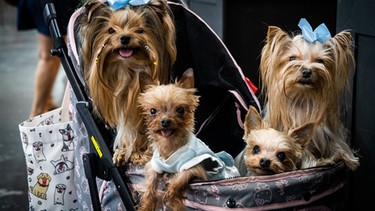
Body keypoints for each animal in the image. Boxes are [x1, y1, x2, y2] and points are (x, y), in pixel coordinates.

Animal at [78, 0, 178, 166]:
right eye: (111, 30)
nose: (124, 37)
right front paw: (126, 152)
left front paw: (143, 154)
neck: (127, 71)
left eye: (140, 30)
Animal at [138, 68, 241, 210]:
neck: (170, 144)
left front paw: (172, 200)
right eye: (152, 111)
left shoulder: (193, 165)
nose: (165, 121)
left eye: (180, 110)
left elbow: (178, 181)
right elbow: (150, 182)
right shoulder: (155, 165)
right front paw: (147, 205)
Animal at [260, 18, 360, 170]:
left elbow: (336, 143)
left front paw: (345, 157)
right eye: (292, 58)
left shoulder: (327, 131)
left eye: (320, 61)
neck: (303, 96)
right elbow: (304, 150)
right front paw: (318, 162)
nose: (307, 71)